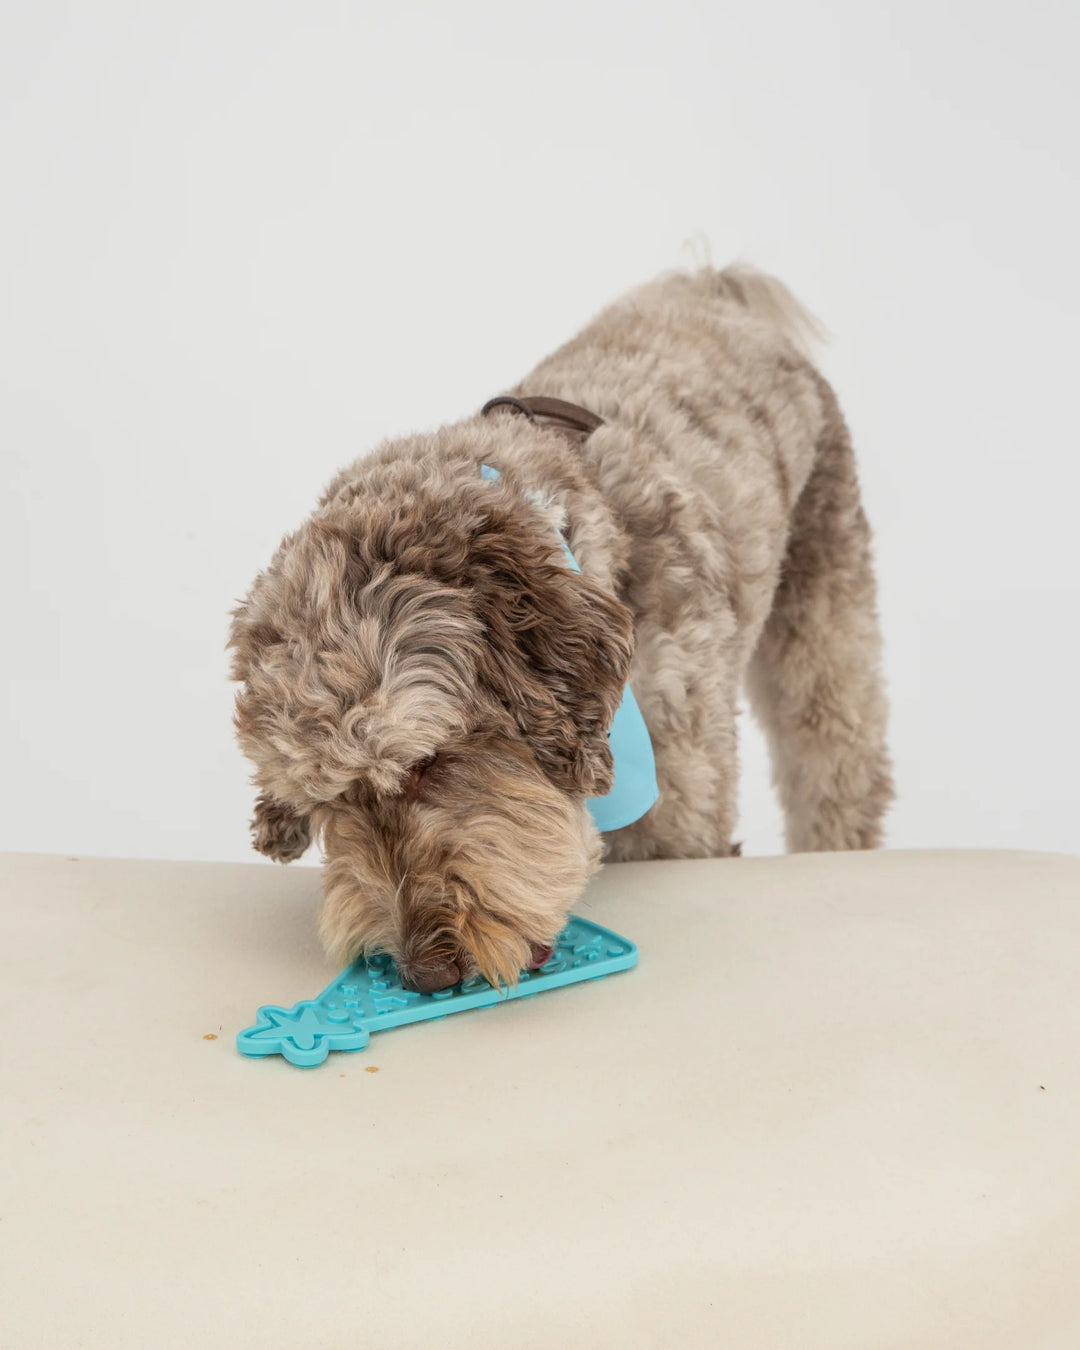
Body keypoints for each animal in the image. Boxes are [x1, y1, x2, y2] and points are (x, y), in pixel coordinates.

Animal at [229, 268, 896, 993]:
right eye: (327, 802)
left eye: (429, 763)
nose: (424, 974)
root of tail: (709, 283)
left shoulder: (683, 809)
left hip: (826, 604)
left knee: (837, 759)